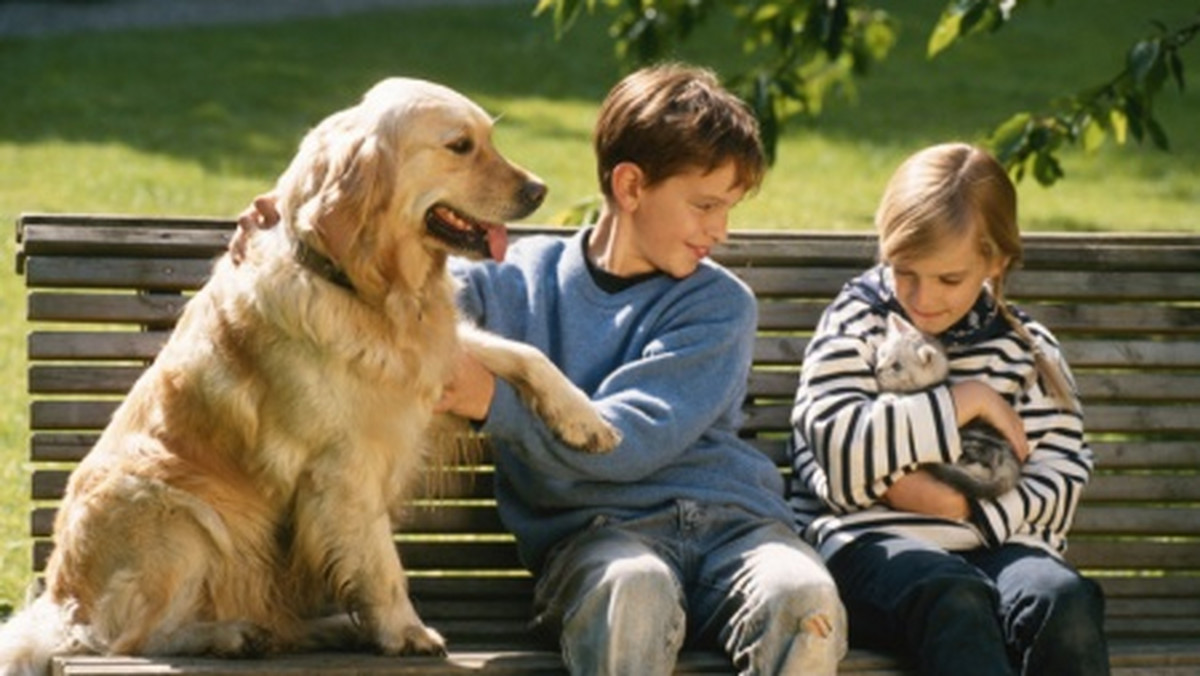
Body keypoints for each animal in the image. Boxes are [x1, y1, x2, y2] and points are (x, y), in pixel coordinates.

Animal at [0, 76, 619, 672]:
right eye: (460, 146)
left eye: (488, 139)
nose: (538, 190)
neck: (361, 288)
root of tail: (59, 603)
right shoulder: (343, 467)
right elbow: (379, 560)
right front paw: (406, 631)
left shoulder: (432, 359)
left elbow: (523, 352)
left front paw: (584, 420)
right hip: (176, 515)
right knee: (131, 638)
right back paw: (232, 635)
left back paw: (324, 626)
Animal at [873, 314, 1022, 499]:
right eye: (883, 353)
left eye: (897, 366)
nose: (878, 370)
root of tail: (1009, 455)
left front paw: (887, 397)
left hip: (967, 441)